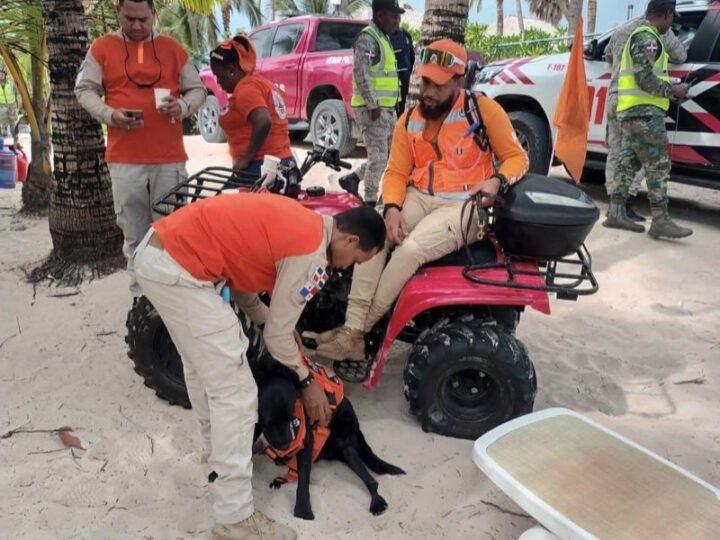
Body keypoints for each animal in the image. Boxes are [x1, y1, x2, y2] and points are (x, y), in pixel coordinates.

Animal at [252, 354, 404, 520]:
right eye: (268, 421)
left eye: (291, 416)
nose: (286, 445)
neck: (272, 373)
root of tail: (358, 430)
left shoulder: (306, 438)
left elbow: (303, 480)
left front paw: (303, 511)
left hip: (346, 446)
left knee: (372, 481)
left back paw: (376, 502)